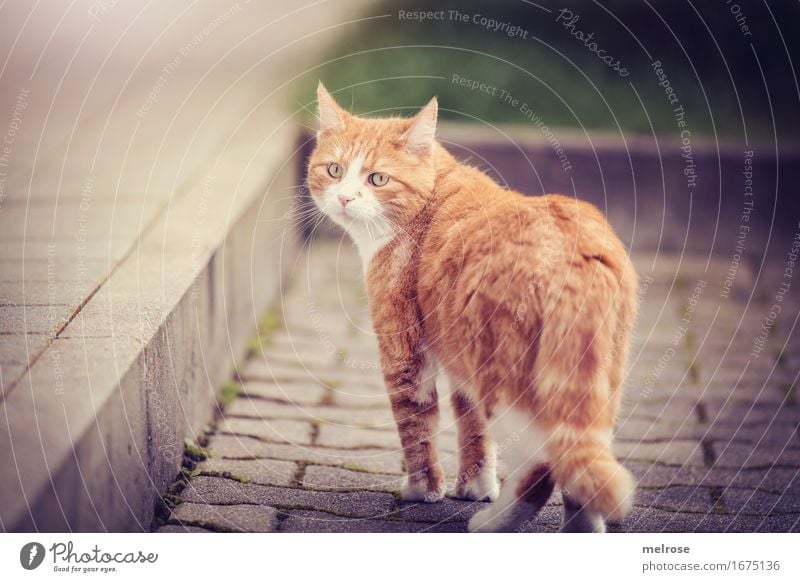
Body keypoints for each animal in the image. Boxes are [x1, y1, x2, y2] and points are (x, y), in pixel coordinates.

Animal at [306, 82, 636, 532]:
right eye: (334, 170)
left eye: (377, 178)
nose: (343, 198)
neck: (428, 199)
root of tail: (571, 253)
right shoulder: (460, 358)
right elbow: (472, 427)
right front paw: (474, 487)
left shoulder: (405, 352)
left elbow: (416, 425)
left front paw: (422, 490)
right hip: (596, 383)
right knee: (578, 467)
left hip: (507, 383)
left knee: (541, 467)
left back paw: (492, 523)